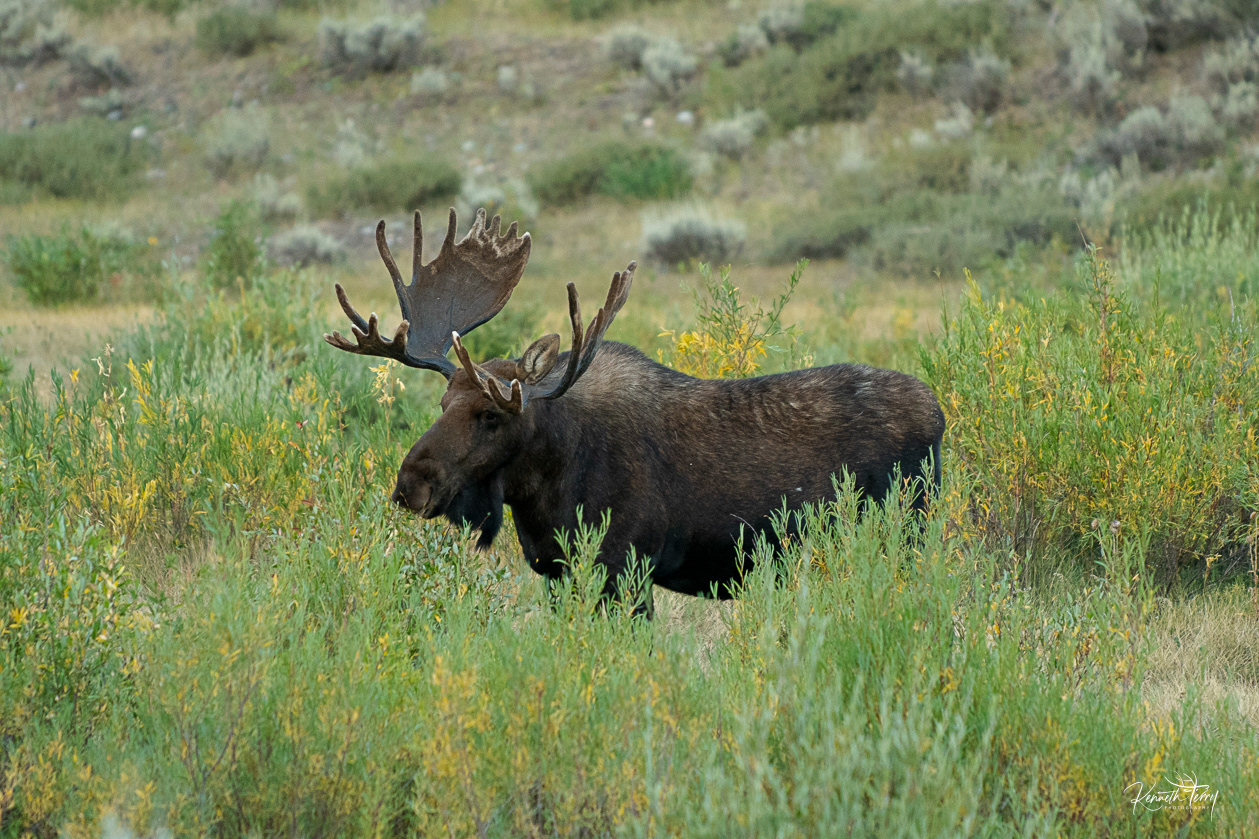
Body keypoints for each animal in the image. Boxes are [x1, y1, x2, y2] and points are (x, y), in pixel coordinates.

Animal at [326, 208, 945, 614]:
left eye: (492, 415)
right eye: (443, 401)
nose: (411, 484)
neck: (543, 493)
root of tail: (939, 415)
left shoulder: (625, 568)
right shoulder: (557, 573)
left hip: (904, 531)